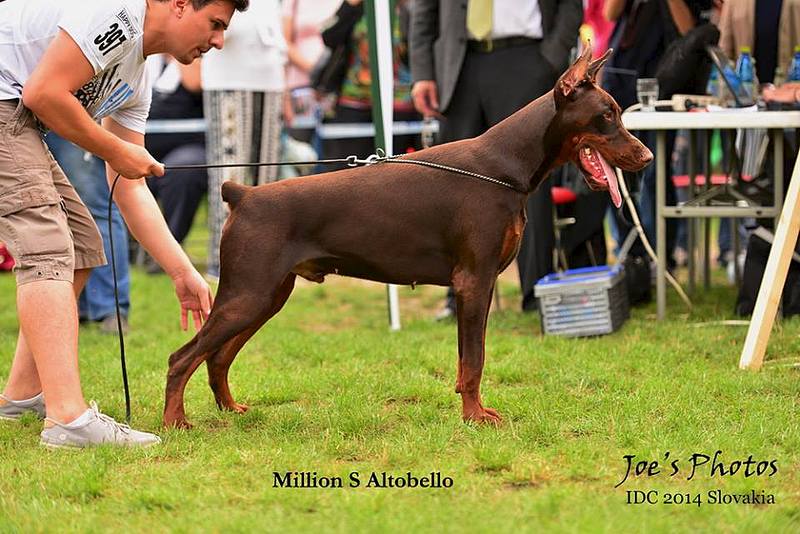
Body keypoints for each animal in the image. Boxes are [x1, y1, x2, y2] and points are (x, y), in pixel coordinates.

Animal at [161, 47, 648, 432]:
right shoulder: (474, 281)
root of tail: (241, 194)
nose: (646, 156)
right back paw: (175, 423)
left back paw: (229, 409)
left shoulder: (479, 285)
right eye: (608, 114)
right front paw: (475, 418)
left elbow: (467, 359)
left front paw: (470, 412)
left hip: (267, 295)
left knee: (217, 357)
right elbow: (474, 360)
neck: (506, 165)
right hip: (247, 292)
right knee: (182, 357)